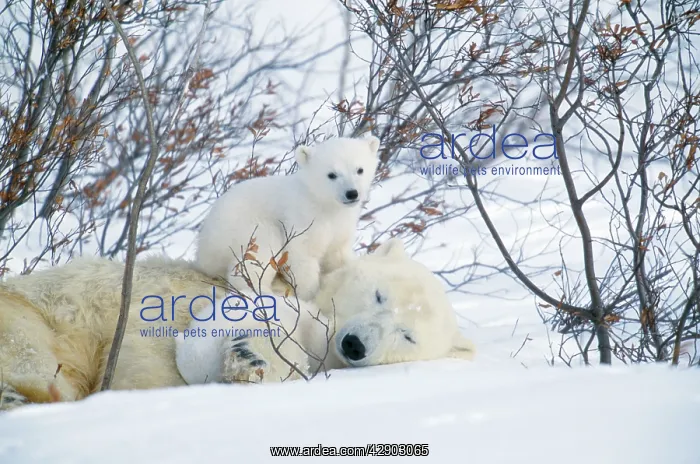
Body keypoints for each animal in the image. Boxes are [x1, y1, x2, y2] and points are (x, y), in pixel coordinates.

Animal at [0, 239, 474, 411]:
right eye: (379, 295)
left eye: (407, 335)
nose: (355, 344)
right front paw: (248, 357)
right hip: (28, 312)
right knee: (33, 357)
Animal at [194, 136, 381, 302]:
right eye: (332, 174)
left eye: (359, 170)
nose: (352, 193)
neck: (323, 204)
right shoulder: (302, 219)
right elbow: (302, 255)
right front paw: (309, 295)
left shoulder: (341, 225)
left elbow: (337, 254)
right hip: (238, 230)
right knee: (260, 248)